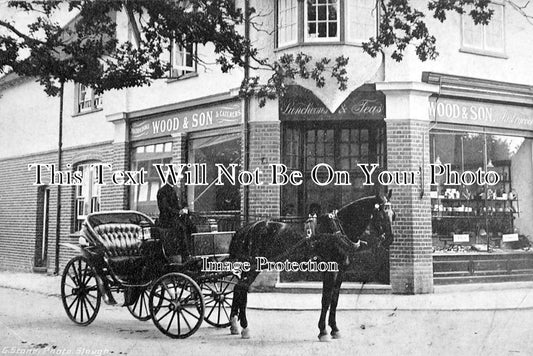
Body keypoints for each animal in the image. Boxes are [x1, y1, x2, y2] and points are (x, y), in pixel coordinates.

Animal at [225, 193, 394, 340]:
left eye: (393, 215)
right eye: (381, 215)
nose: (390, 239)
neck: (337, 231)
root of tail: (248, 227)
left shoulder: (341, 272)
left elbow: (334, 300)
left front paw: (335, 329)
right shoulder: (330, 271)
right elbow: (326, 299)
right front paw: (323, 331)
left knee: (239, 289)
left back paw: (235, 325)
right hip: (254, 267)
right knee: (242, 288)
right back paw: (244, 327)